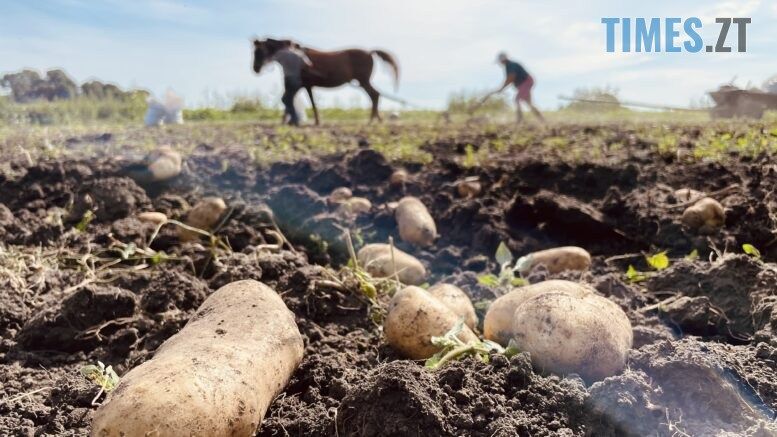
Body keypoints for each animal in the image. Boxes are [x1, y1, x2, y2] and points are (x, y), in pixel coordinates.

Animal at [253, 38, 400, 124]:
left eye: (258, 51)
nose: (255, 68)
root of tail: (369, 52)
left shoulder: (301, 85)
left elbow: (307, 103)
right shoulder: (305, 85)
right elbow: (307, 102)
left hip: (363, 81)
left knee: (374, 95)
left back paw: (372, 120)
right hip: (363, 82)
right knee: (375, 95)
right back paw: (376, 119)